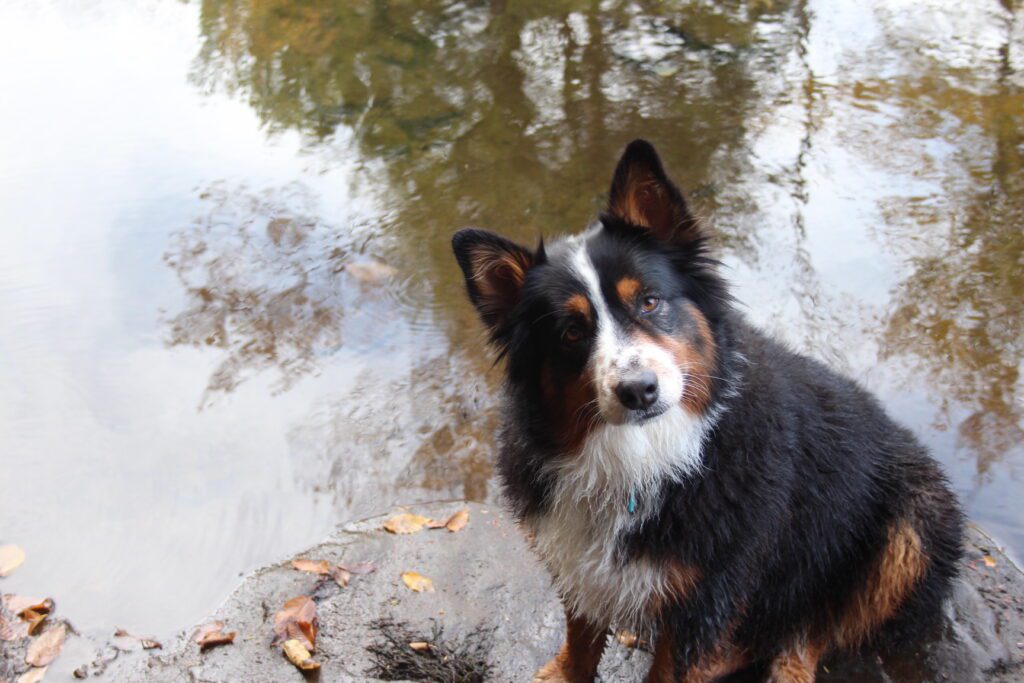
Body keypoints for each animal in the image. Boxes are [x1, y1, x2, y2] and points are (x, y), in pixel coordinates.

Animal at [452, 140, 962, 683]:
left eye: (650, 301)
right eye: (571, 332)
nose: (639, 391)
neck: (640, 457)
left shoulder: (709, 591)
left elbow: (673, 666)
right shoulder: (575, 559)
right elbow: (582, 633)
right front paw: (565, 672)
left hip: (911, 527)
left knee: (820, 626)